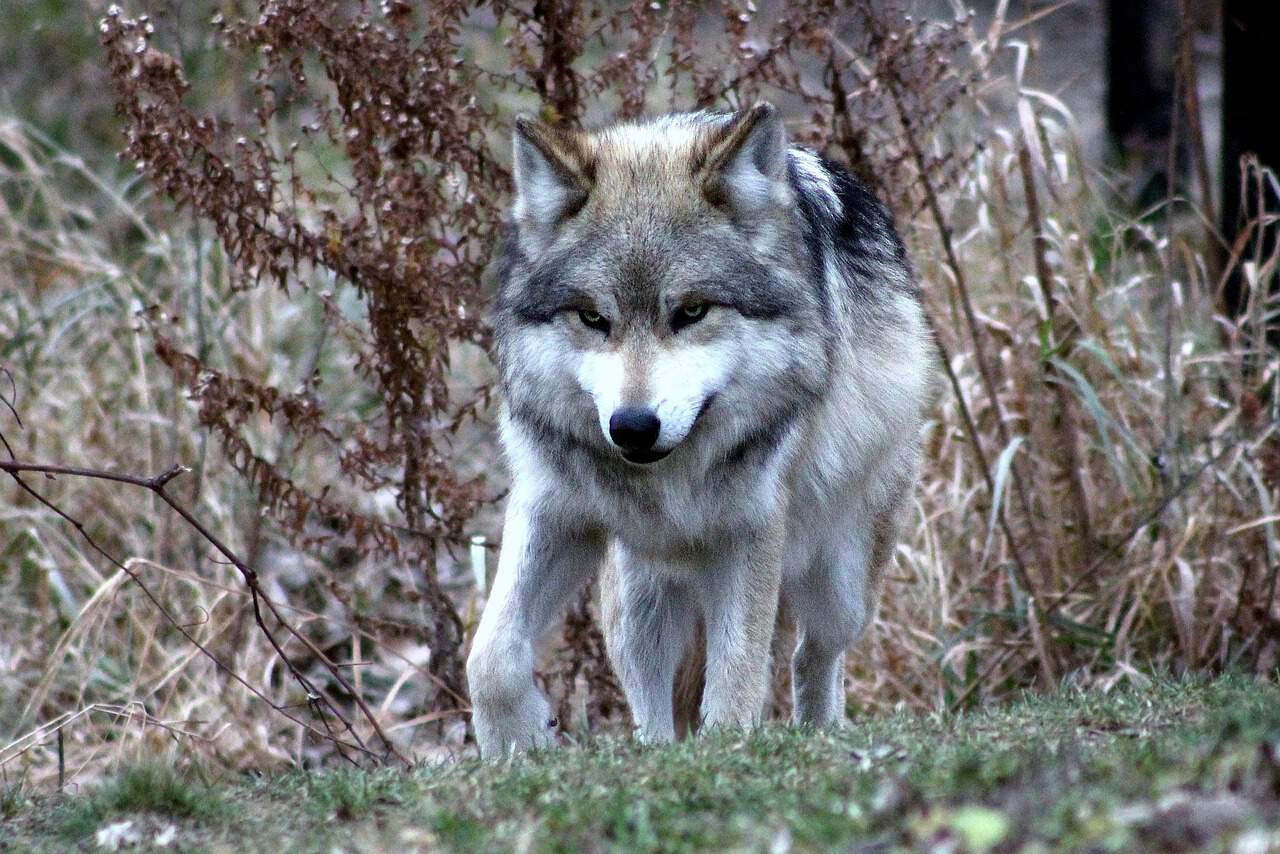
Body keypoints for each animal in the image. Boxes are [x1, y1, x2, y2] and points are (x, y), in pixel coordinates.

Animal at [467, 103, 934, 758]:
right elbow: (488, 657)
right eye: (593, 317)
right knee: (651, 699)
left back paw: (820, 730)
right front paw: (518, 742)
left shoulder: (751, 528)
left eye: (691, 312)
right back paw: (657, 751)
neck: (669, 479)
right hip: (637, 595)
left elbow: (737, 674)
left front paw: (729, 748)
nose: (633, 427)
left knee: (813, 653)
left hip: (841, 584)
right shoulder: (554, 509)